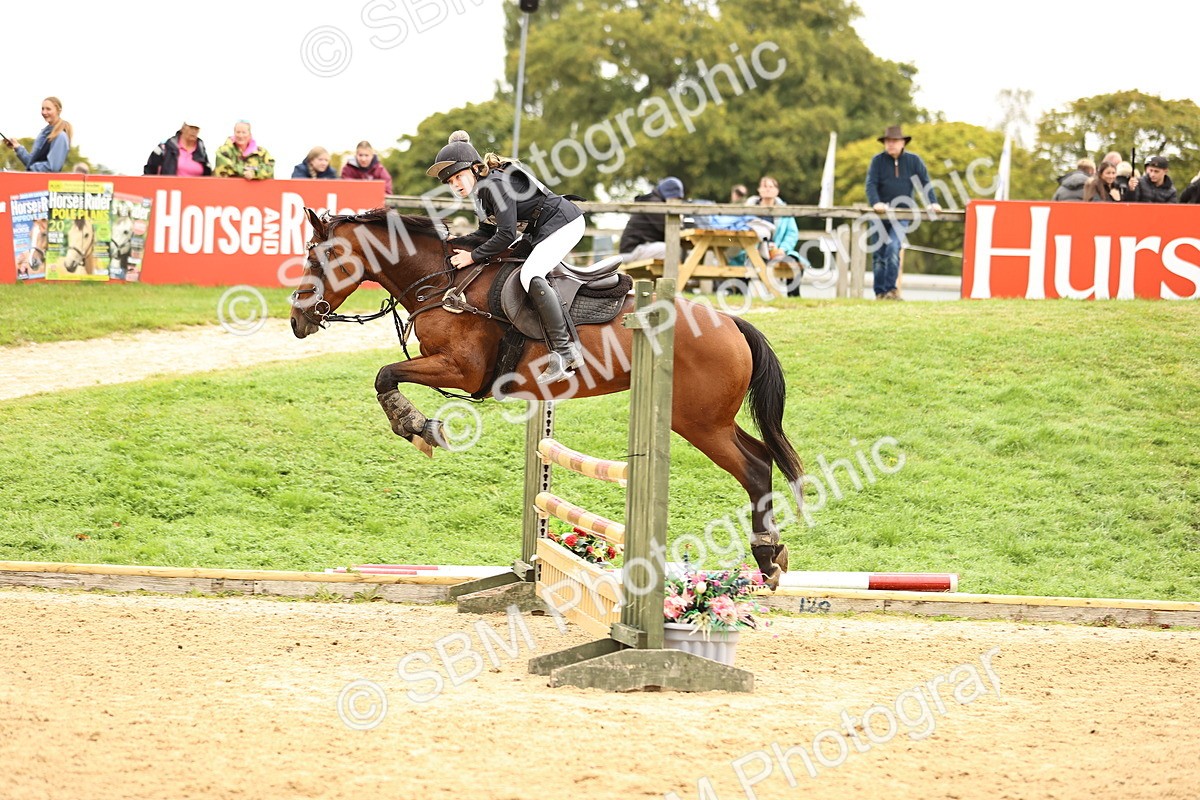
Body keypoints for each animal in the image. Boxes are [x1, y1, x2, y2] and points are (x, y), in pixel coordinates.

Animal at [288, 207, 802, 586]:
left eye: (318, 258)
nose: (297, 320)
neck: (444, 282)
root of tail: (731, 322)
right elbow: (386, 376)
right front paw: (416, 425)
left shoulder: (462, 370)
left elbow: (385, 376)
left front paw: (416, 426)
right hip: (709, 419)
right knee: (761, 456)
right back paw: (772, 554)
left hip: (697, 422)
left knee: (754, 468)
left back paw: (767, 557)